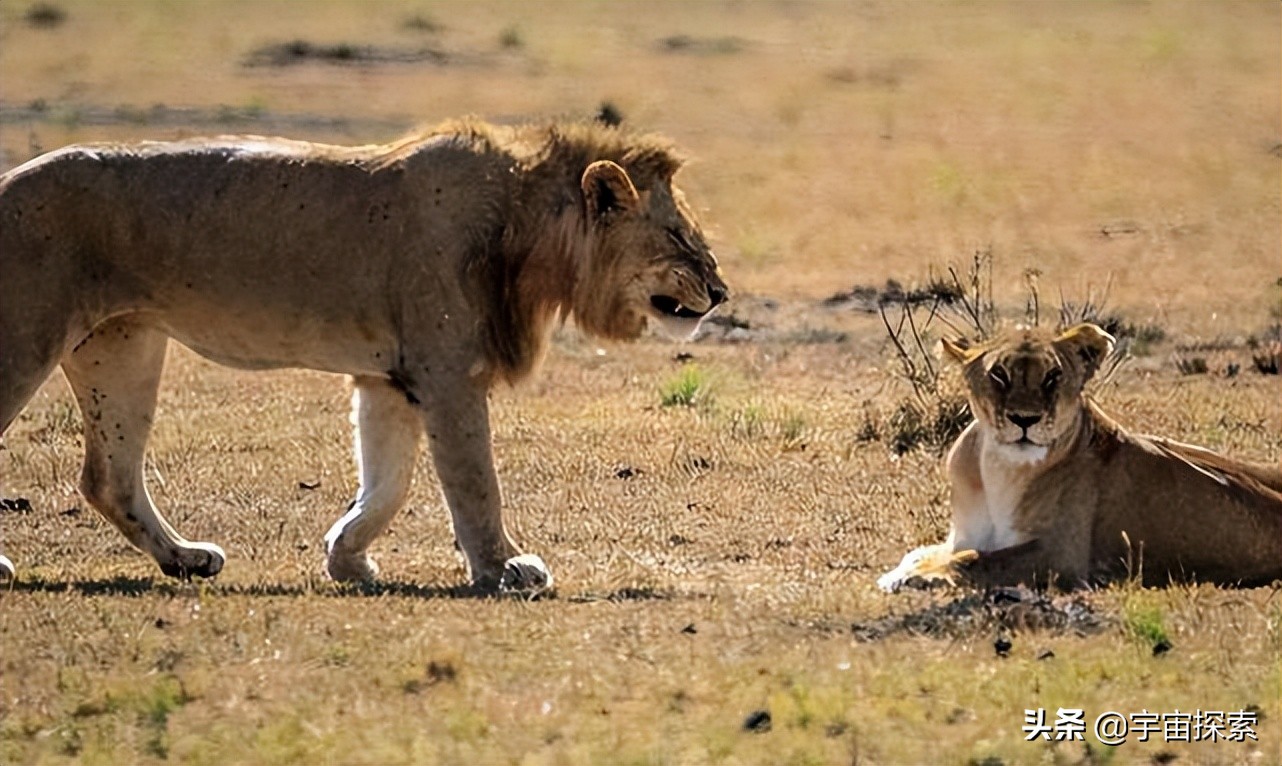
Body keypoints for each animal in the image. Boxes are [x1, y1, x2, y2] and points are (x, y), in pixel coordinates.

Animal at [0, 120, 728, 594]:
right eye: (678, 236)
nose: (721, 294)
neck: (527, 233)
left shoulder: (390, 379)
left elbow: (388, 483)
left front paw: (346, 559)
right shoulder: (447, 371)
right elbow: (474, 482)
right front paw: (501, 568)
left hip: (123, 345)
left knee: (108, 477)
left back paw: (184, 559)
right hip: (27, 336)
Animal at [882, 321, 1282, 591]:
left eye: (1052, 376)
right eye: (999, 375)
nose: (1024, 419)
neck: (1000, 468)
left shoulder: (1062, 555)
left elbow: (976, 561)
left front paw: (916, 578)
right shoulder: (962, 535)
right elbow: (921, 551)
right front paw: (898, 572)